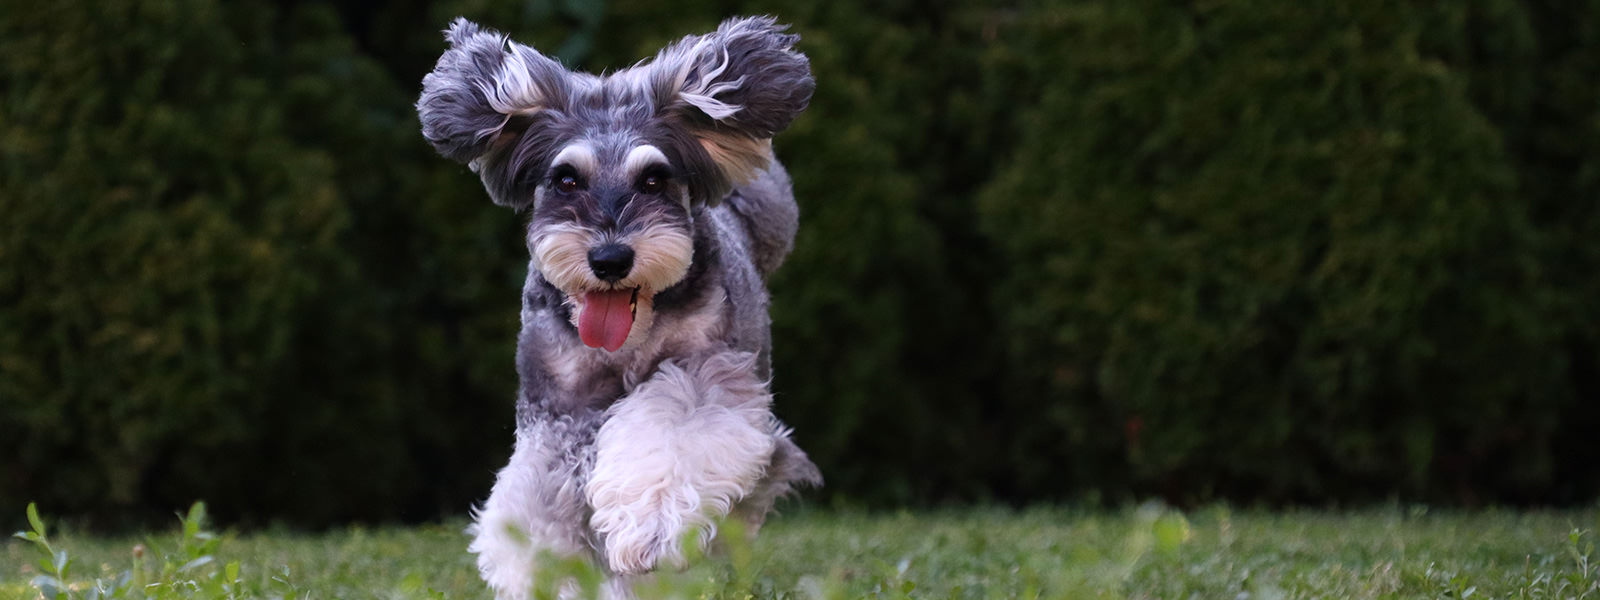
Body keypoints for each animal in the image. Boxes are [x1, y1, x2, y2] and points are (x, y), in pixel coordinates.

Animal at [419, 15, 819, 600]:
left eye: (653, 179)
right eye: (566, 179)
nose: (610, 259)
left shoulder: (705, 373)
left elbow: (672, 439)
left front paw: (651, 528)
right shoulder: (559, 414)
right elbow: (541, 507)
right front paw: (556, 579)